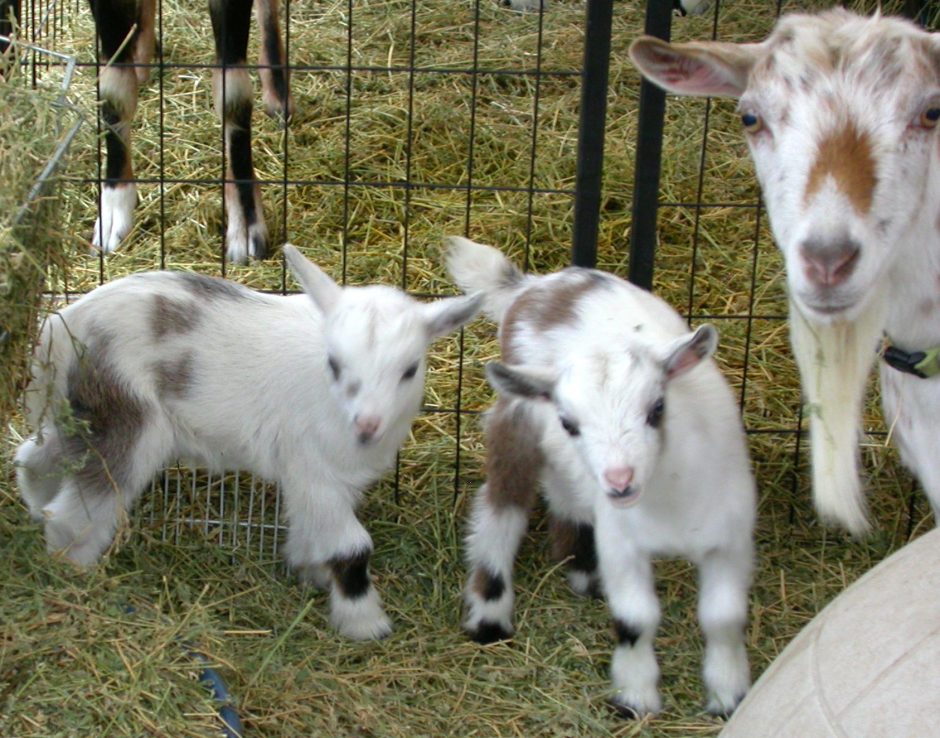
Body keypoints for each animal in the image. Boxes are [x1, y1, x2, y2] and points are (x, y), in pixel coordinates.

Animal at [14, 244, 481, 640]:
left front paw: (309, 571)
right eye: (334, 363)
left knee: (35, 456)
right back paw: (75, 575)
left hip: (82, 416)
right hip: (129, 419)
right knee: (79, 507)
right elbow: (351, 547)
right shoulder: (314, 470)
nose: (367, 424)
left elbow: (311, 530)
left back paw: (36, 507)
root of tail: (61, 330)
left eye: (410, 369)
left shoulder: (318, 477)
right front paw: (365, 624)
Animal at [447, 237, 755, 717]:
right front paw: (635, 698)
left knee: (564, 492)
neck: (668, 504)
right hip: (517, 419)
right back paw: (490, 615)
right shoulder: (622, 543)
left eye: (657, 408)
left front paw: (730, 696)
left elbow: (723, 618)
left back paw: (581, 572)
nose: (620, 480)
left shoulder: (730, 540)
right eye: (569, 422)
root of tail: (535, 286)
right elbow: (635, 619)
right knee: (502, 506)